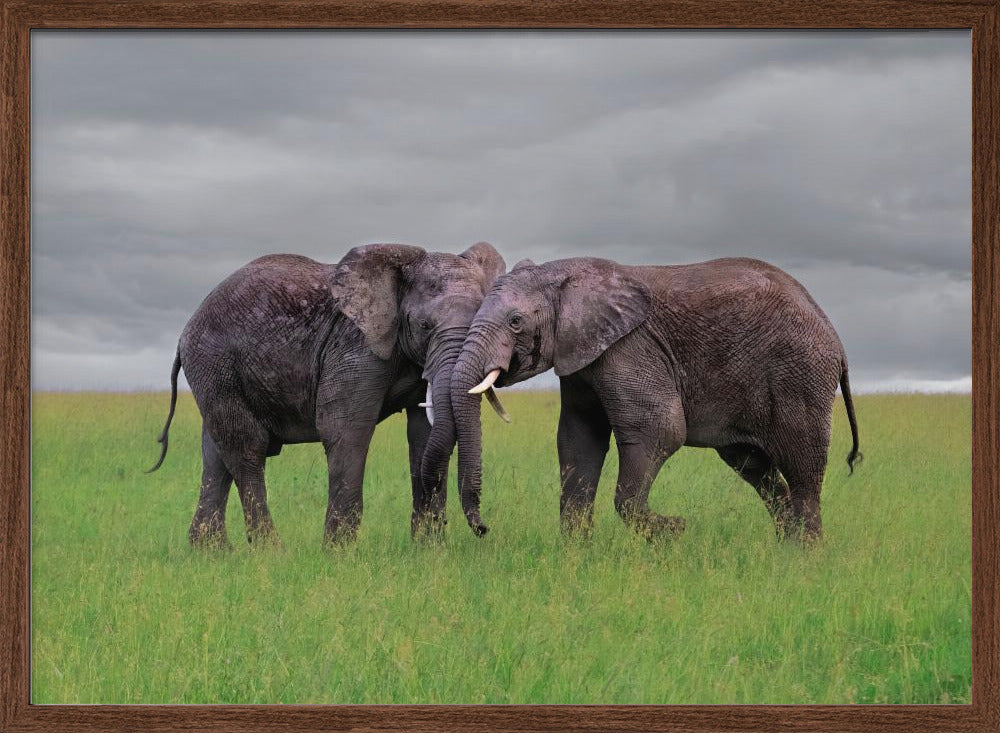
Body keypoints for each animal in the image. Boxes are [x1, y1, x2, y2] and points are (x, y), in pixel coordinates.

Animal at [148, 242, 509, 547]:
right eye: (424, 326)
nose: (483, 528)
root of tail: (185, 330)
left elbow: (424, 434)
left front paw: (428, 551)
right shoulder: (355, 347)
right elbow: (346, 430)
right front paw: (339, 553)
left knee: (215, 454)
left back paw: (212, 553)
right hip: (215, 363)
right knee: (246, 448)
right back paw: (271, 552)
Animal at [449, 256, 861, 541]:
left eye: (516, 322)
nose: (484, 529)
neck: (569, 274)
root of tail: (834, 333)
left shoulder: (630, 348)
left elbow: (659, 431)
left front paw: (675, 530)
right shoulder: (583, 358)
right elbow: (578, 440)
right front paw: (576, 555)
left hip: (800, 374)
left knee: (802, 470)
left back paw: (805, 557)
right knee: (756, 470)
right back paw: (785, 549)